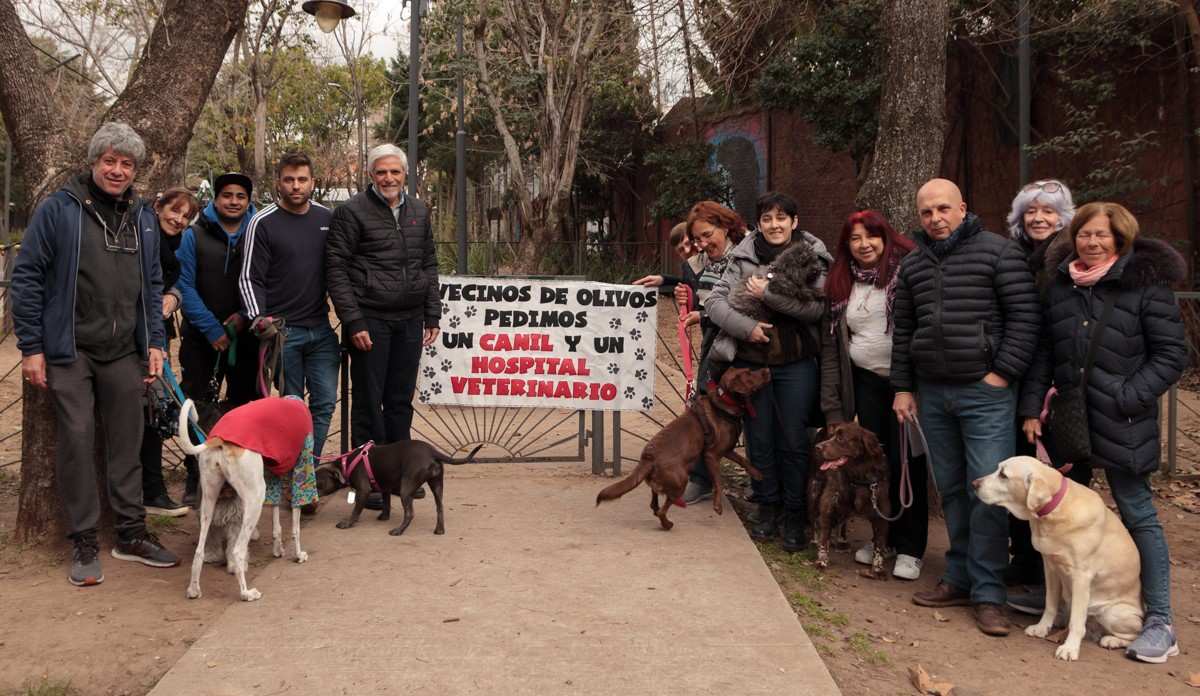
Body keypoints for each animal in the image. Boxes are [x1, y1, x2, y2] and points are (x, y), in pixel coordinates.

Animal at [319, 444, 487, 535]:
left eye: (318, 483)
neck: (346, 464)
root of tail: (432, 451)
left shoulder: (363, 491)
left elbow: (356, 511)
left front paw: (348, 523)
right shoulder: (385, 488)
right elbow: (386, 503)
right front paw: (384, 516)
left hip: (406, 487)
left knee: (410, 513)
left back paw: (398, 530)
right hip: (437, 485)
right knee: (440, 507)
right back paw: (439, 529)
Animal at [592, 367, 768, 530]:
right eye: (749, 372)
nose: (767, 370)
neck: (724, 402)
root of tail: (648, 458)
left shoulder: (727, 449)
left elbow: (743, 459)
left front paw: (757, 473)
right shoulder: (711, 454)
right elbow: (718, 481)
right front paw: (717, 505)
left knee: (655, 503)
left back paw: (660, 512)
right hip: (681, 480)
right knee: (662, 510)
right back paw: (667, 524)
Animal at [806, 422, 892, 578]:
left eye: (841, 438)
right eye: (833, 435)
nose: (818, 447)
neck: (858, 478)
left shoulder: (882, 516)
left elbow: (879, 545)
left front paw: (877, 569)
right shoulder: (828, 505)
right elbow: (824, 537)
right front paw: (822, 561)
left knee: (841, 524)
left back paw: (841, 541)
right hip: (814, 492)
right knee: (814, 519)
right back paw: (815, 540)